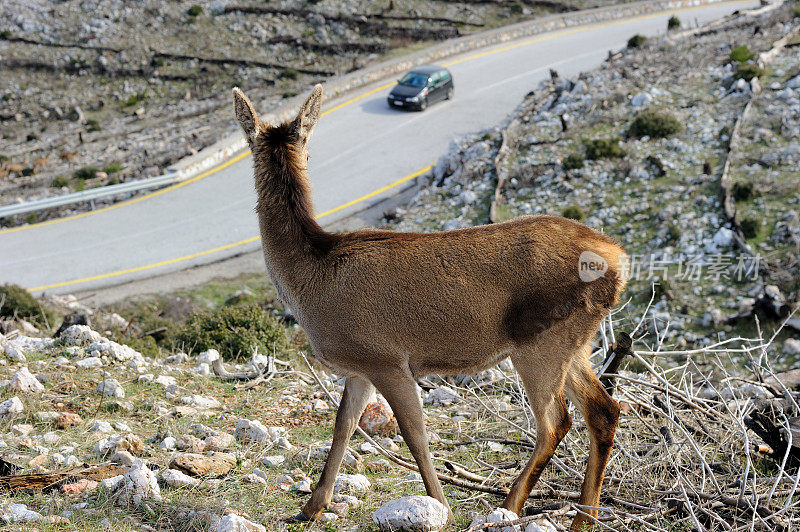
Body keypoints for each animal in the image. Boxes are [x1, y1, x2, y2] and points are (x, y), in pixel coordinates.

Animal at [234, 85, 628, 528]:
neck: (308, 281)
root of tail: (620, 260)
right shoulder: (358, 367)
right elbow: (343, 426)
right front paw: (310, 508)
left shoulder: (386, 358)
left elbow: (414, 433)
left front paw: (440, 505)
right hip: (575, 341)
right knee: (603, 409)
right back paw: (583, 518)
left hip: (540, 342)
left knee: (555, 422)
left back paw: (509, 507)